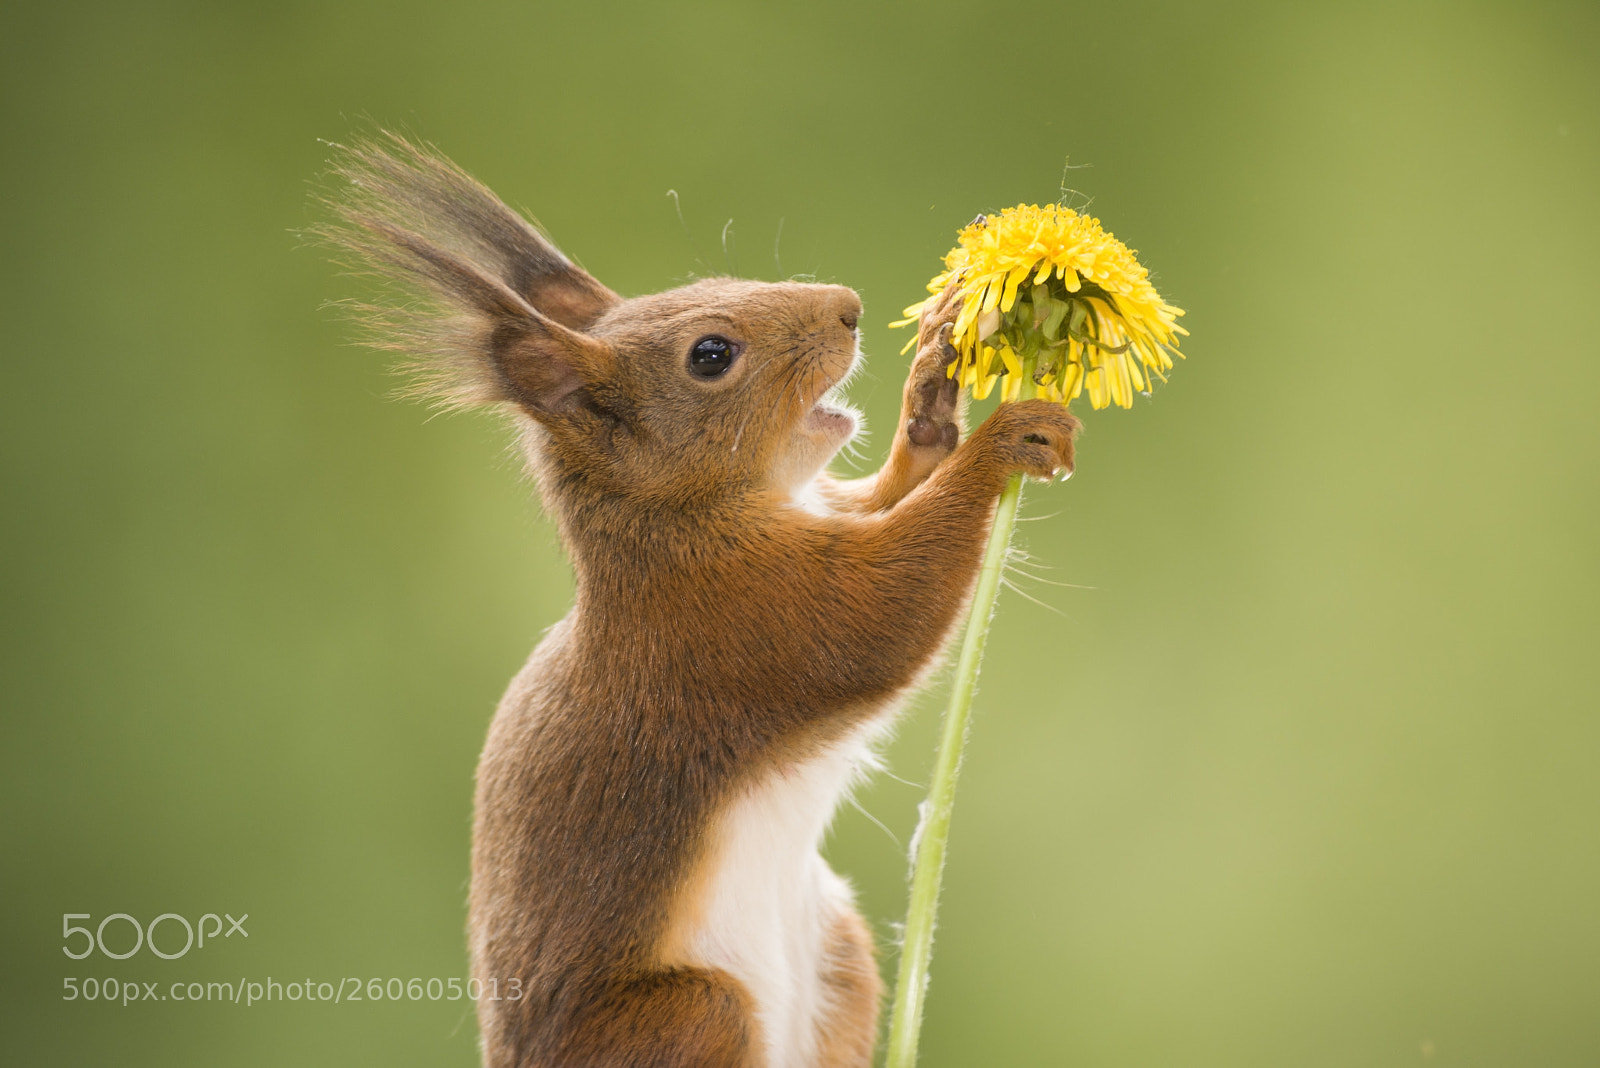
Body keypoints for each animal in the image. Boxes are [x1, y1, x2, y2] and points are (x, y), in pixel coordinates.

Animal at [320, 132, 1078, 1068]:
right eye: (710, 354)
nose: (849, 307)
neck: (673, 522)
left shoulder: (821, 514)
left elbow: (883, 499)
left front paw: (935, 388)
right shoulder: (734, 615)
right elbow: (882, 611)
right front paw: (999, 444)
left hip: (837, 948)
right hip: (691, 1017)